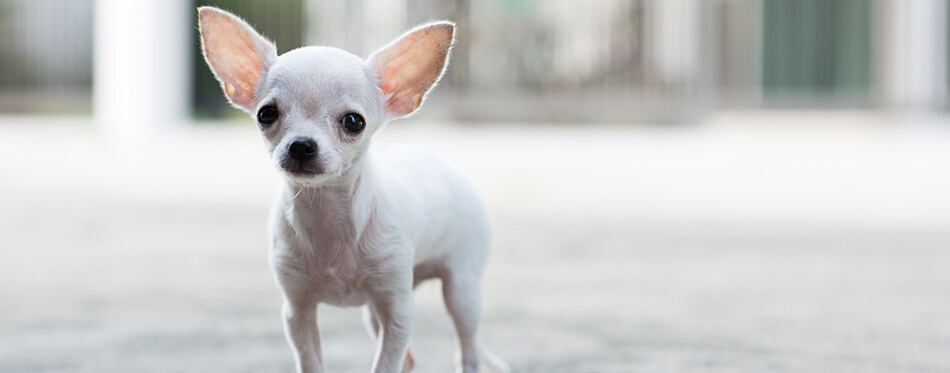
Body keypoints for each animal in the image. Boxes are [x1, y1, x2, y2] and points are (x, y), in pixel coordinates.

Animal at [196, 5, 510, 372]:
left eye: (353, 122)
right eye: (266, 114)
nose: (301, 145)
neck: (328, 217)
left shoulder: (398, 313)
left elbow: (384, 365)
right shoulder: (298, 312)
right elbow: (313, 362)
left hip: (461, 290)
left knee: (468, 350)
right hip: (375, 313)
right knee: (409, 358)